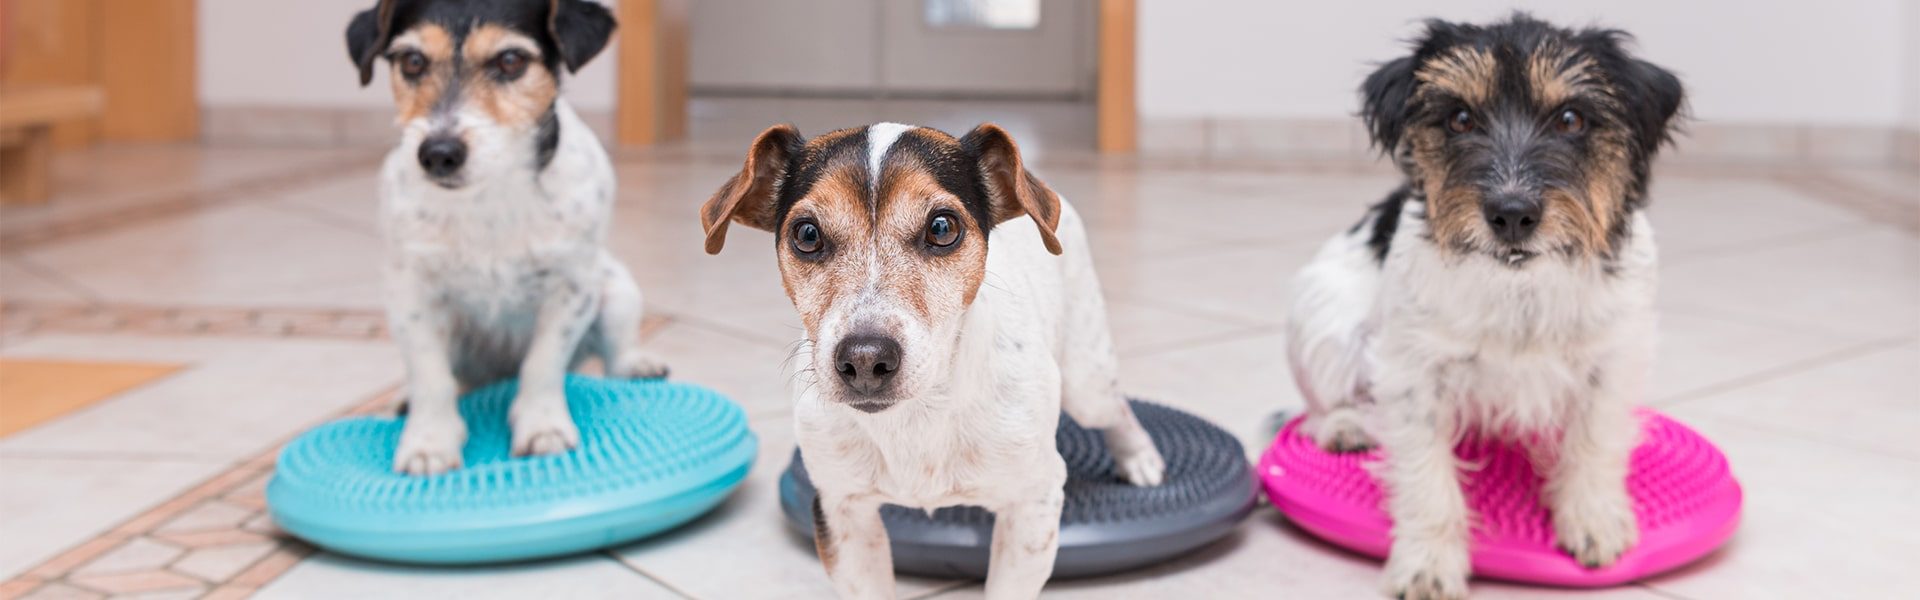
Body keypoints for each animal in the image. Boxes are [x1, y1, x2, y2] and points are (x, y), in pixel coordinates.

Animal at [345, 0, 668, 478]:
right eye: (413, 61)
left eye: (511, 60)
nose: (438, 153)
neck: (489, 195)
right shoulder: (411, 295)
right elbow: (430, 376)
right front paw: (429, 441)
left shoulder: (571, 288)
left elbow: (542, 364)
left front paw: (542, 426)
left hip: (616, 291)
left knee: (615, 354)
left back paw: (637, 364)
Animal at [698, 124, 1159, 596]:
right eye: (807, 234)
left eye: (942, 227)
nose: (865, 359)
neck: (918, 414)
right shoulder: (843, 513)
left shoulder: (1033, 505)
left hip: (1087, 380)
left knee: (1116, 407)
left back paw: (1141, 458)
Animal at [1290, 14, 1681, 600]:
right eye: (1459, 118)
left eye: (1571, 118)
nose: (1512, 213)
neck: (1519, 286)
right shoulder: (1413, 372)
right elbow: (1427, 476)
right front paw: (1427, 564)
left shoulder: (1613, 358)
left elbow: (1595, 439)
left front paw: (1593, 521)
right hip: (1321, 324)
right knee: (1318, 402)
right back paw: (1344, 426)